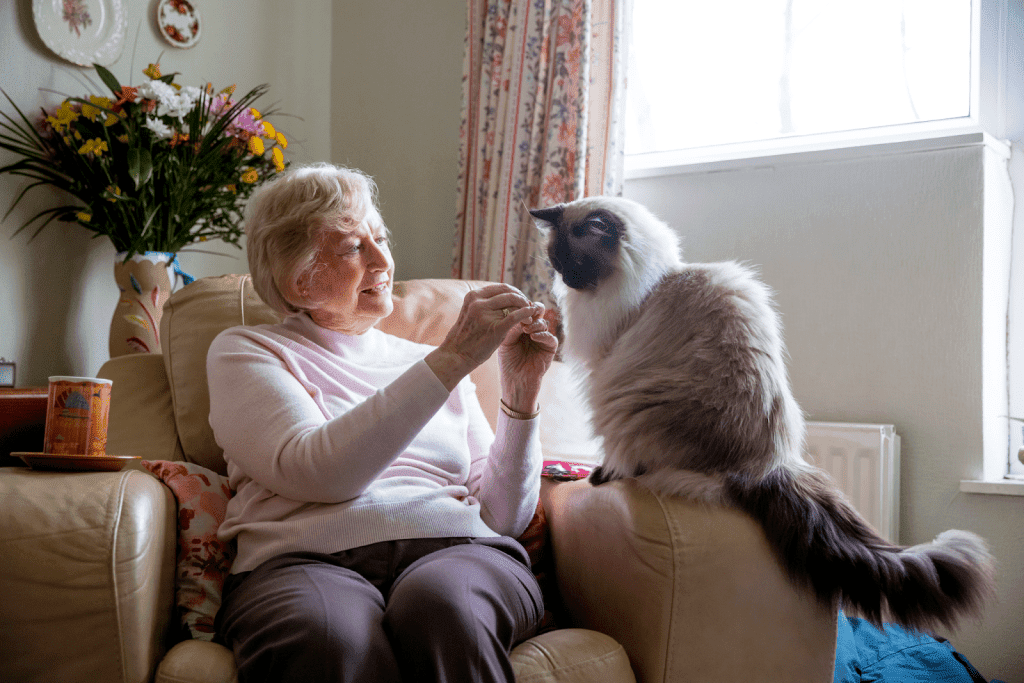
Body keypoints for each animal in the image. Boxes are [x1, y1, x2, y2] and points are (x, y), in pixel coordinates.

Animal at [532, 194, 995, 634]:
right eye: (557, 263)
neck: (653, 281)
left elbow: (611, 451)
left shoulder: (604, 372)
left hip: (627, 407)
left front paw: (597, 472)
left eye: (575, 263)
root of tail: (769, 465)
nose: (566, 281)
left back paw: (604, 476)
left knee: (633, 461)